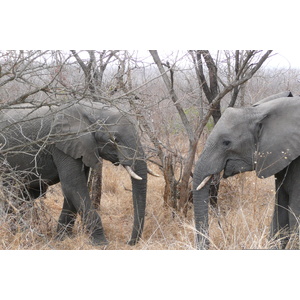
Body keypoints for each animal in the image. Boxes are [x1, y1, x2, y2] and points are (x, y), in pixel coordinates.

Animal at [0, 101, 150, 246]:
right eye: (115, 140)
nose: (129, 243)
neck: (93, 110)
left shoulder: (82, 148)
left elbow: (72, 190)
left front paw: (62, 239)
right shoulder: (62, 142)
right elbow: (73, 186)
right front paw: (101, 243)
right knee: (9, 193)